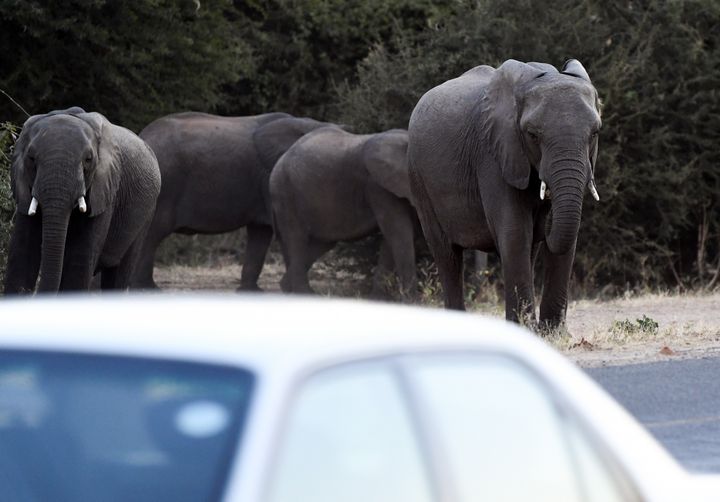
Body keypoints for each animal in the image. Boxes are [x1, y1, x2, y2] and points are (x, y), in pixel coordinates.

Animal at [4, 107, 162, 294]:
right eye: (31, 158)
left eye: (88, 160)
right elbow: (22, 254)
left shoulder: (105, 190)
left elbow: (79, 259)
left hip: (146, 215)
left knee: (119, 272)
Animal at [132, 112, 334, 288]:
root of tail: (143, 135)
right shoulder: (272, 179)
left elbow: (260, 233)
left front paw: (251, 292)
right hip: (163, 187)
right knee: (153, 234)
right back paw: (147, 288)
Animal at [268, 126, 416, 298]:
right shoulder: (377, 186)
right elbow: (399, 232)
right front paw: (412, 301)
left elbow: (393, 238)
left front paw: (377, 299)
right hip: (285, 195)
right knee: (296, 239)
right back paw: (304, 294)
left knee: (322, 243)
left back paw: (289, 288)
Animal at [410, 60, 600, 328]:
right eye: (532, 134)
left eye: (595, 133)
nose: (547, 211)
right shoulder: (494, 154)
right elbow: (515, 232)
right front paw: (527, 329)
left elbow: (566, 239)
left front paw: (552, 333)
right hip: (419, 178)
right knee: (447, 254)